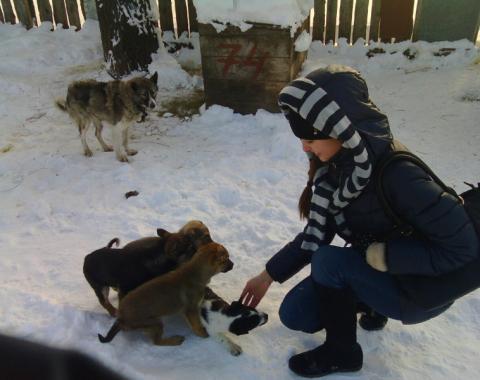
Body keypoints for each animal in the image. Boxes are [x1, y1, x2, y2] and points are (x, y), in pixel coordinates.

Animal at [82, 220, 212, 314]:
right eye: (190, 248)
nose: (211, 245)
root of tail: (86, 258)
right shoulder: (125, 289)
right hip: (100, 287)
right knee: (104, 302)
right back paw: (113, 312)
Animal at [98, 242, 233, 346]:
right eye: (226, 259)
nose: (233, 264)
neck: (196, 272)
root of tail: (121, 318)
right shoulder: (191, 309)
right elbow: (197, 325)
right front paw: (203, 334)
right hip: (155, 322)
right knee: (156, 342)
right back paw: (175, 340)